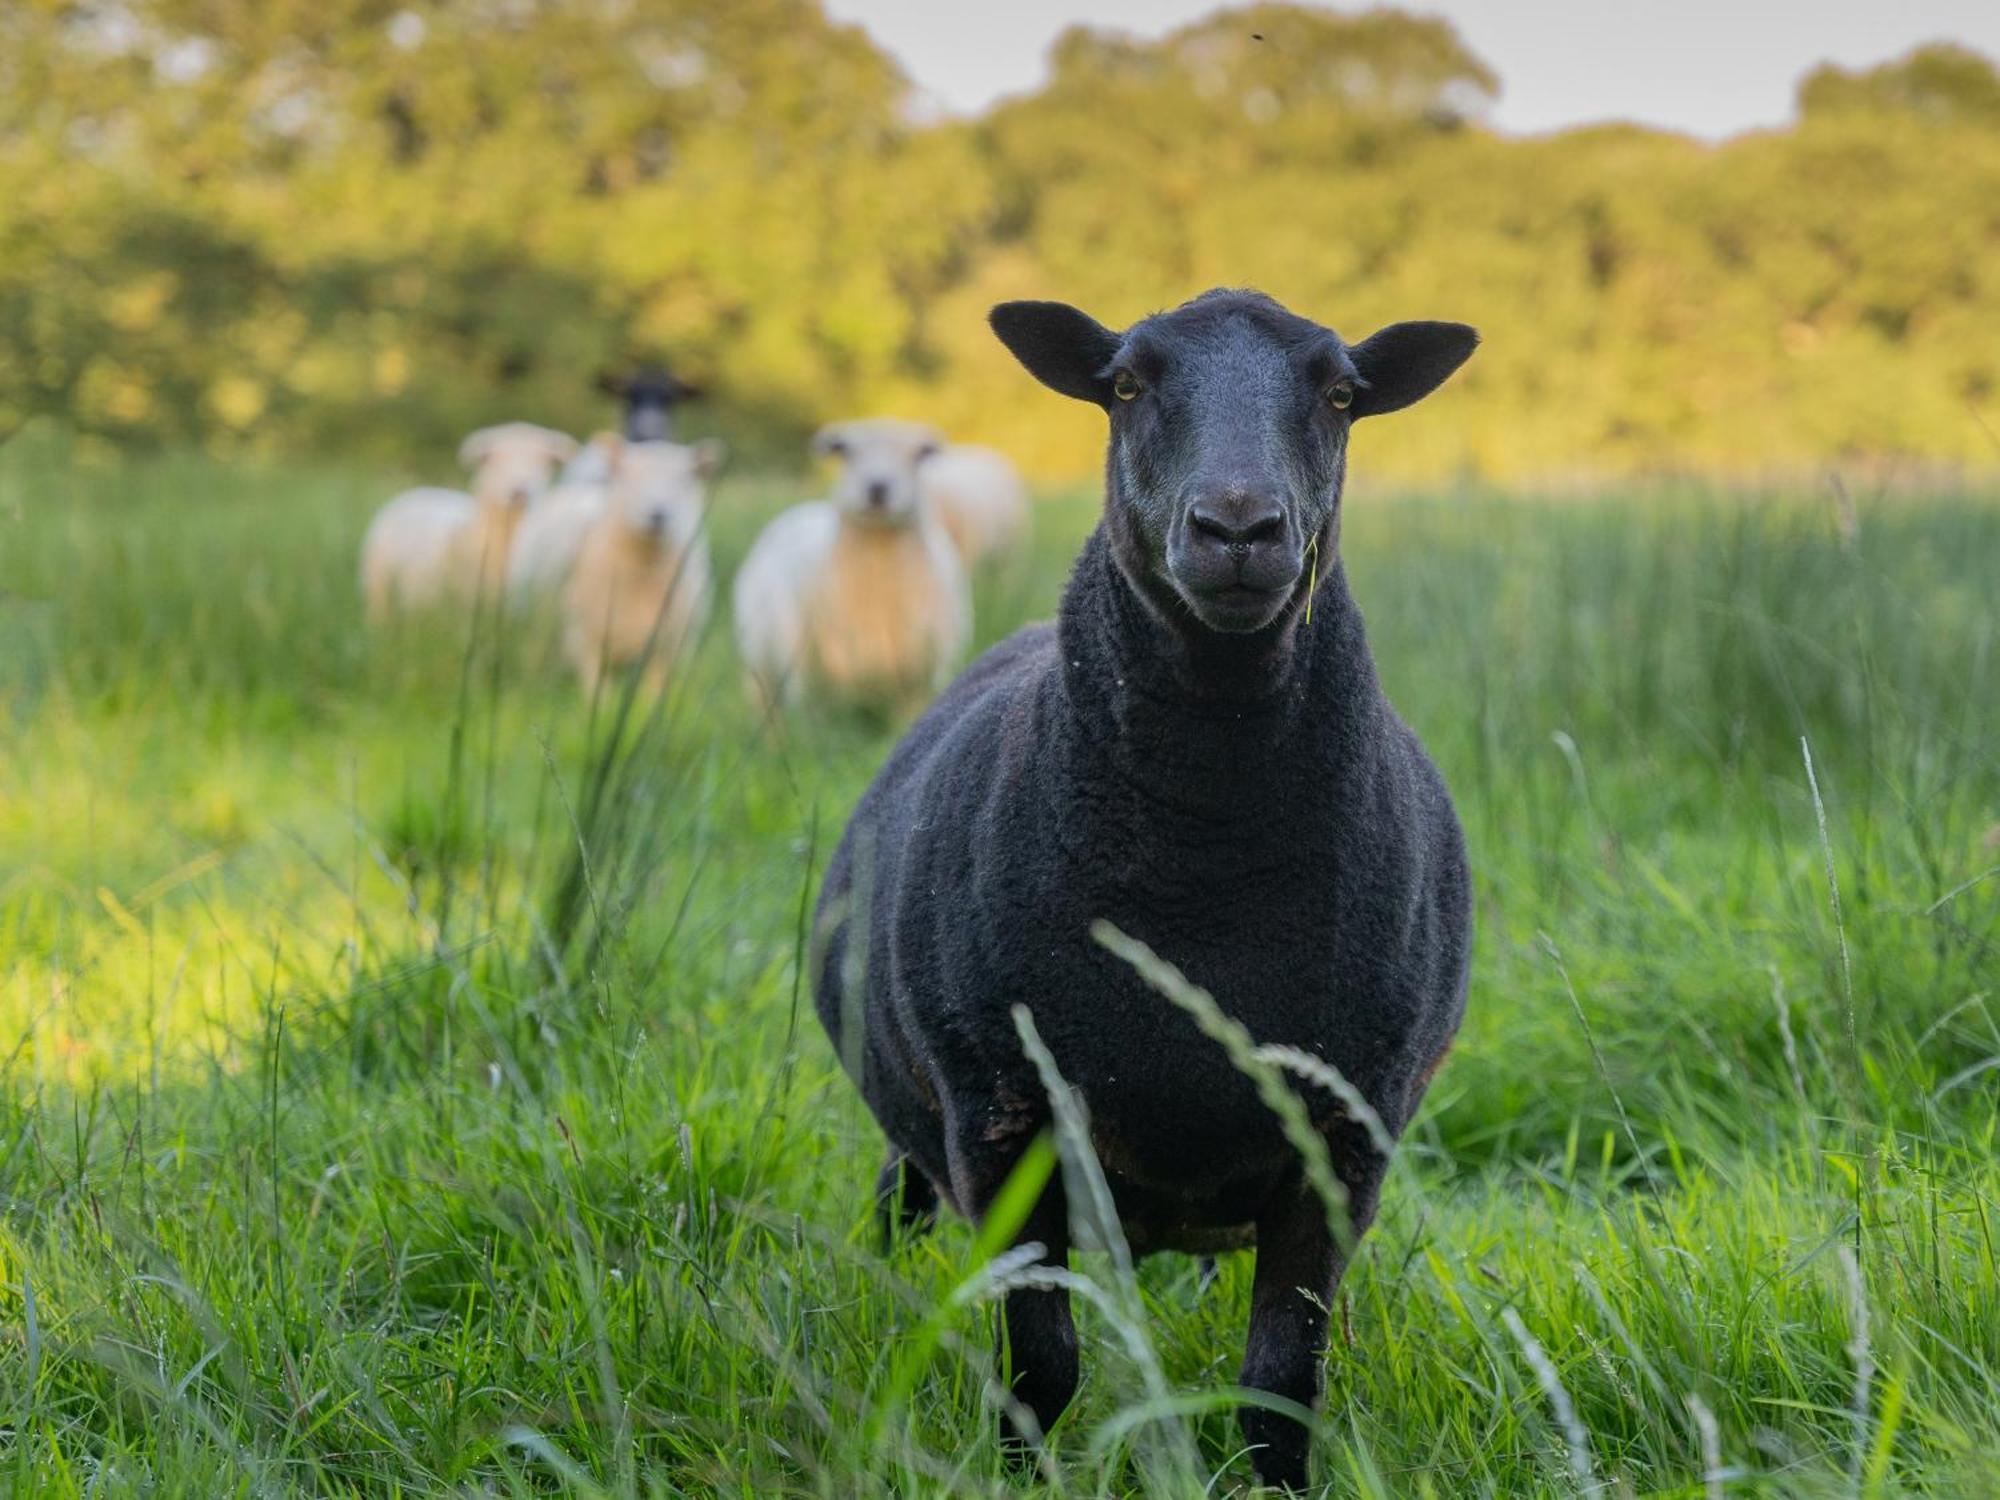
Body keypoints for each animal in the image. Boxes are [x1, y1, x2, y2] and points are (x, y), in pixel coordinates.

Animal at [560, 434, 724, 692]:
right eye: (629, 476)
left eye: (684, 479)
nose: (658, 515)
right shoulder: (589, 638)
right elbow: (597, 686)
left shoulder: (665, 646)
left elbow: (652, 691)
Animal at [736, 418, 968, 712]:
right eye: (846, 451)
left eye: (918, 454)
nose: (877, 487)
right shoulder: (818, 685)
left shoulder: (919, 683)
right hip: (762, 661)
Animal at [816, 284, 1488, 1496]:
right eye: (1125, 384)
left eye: (1340, 395)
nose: (1237, 530)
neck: (1203, 884)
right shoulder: (1002, 1117)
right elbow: (1040, 1367)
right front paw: (1020, 1477)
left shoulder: (1339, 1137)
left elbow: (1279, 1379)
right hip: (926, 1121)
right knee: (899, 1209)